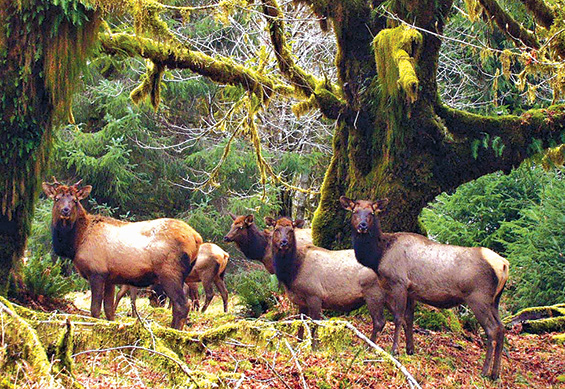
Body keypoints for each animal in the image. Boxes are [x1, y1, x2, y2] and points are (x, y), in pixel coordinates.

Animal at [43, 178, 203, 328]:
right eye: (57, 198)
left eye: (75, 200)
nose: (65, 210)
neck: (76, 243)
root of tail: (197, 238)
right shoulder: (110, 278)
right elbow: (109, 310)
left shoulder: (97, 272)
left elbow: (95, 310)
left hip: (169, 273)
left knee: (182, 304)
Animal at [340, 196, 512, 378]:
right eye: (355, 211)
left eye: (372, 213)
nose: (362, 226)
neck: (378, 257)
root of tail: (504, 265)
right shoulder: (411, 291)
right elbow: (409, 319)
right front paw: (410, 350)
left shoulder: (399, 283)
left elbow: (398, 317)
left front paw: (395, 350)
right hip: (495, 300)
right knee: (501, 328)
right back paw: (495, 374)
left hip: (478, 297)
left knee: (492, 329)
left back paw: (485, 371)